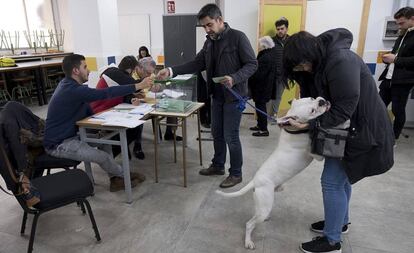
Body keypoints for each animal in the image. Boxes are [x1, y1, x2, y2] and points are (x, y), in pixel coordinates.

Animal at [217, 97, 330, 249]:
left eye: (312, 98)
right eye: (312, 111)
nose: (322, 101)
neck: (294, 130)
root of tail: (255, 181)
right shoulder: (315, 155)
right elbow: (322, 153)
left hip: (265, 201)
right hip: (264, 204)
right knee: (249, 224)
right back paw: (248, 241)